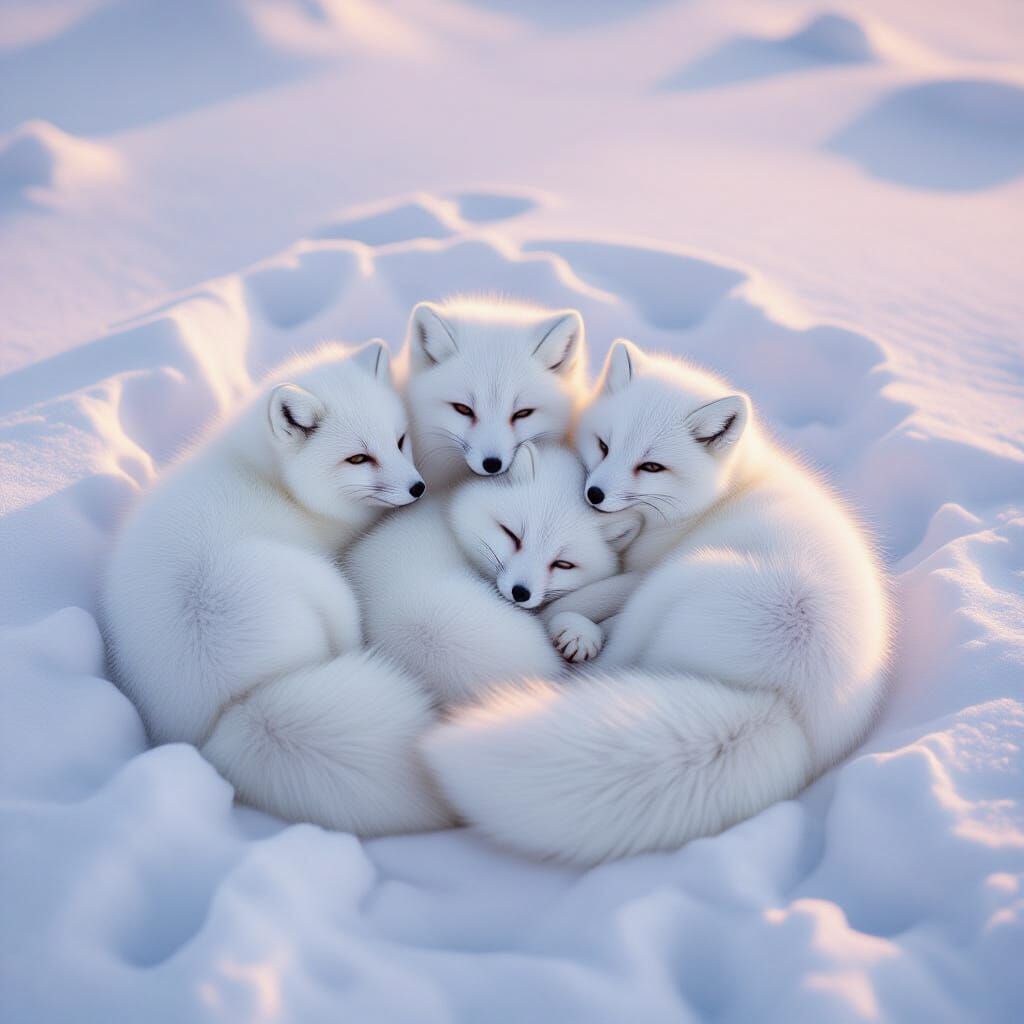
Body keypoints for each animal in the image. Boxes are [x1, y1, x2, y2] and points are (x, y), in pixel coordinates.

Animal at [103, 341, 453, 836]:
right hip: (325, 585)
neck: (272, 480)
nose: (418, 488)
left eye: (400, 440)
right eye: (358, 459)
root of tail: (235, 699)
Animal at [422, 339, 892, 865]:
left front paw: (565, 619)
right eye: (604, 445)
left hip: (675, 581)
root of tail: (783, 697)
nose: (594, 494)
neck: (713, 499)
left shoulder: (642, 569)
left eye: (651, 466)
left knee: (613, 661)